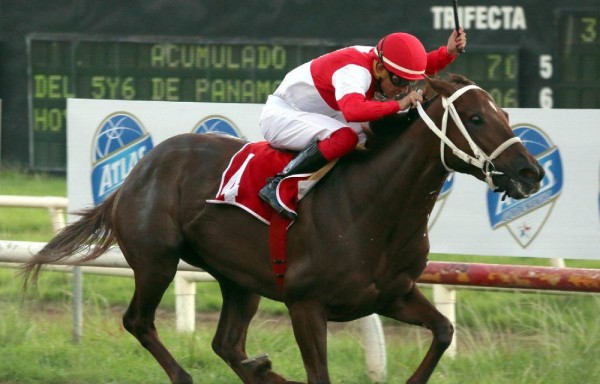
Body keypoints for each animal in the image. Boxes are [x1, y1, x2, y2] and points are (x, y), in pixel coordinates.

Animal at [22, 73, 544, 382]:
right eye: (475, 117)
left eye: (505, 114)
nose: (531, 172)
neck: (374, 207)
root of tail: (138, 169)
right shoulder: (306, 305)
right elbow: (320, 375)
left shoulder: (392, 293)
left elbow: (442, 331)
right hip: (157, 261)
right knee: (139, 321)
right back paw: (191, 375)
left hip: (239, 279)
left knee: (227, 343)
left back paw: (261, 368)